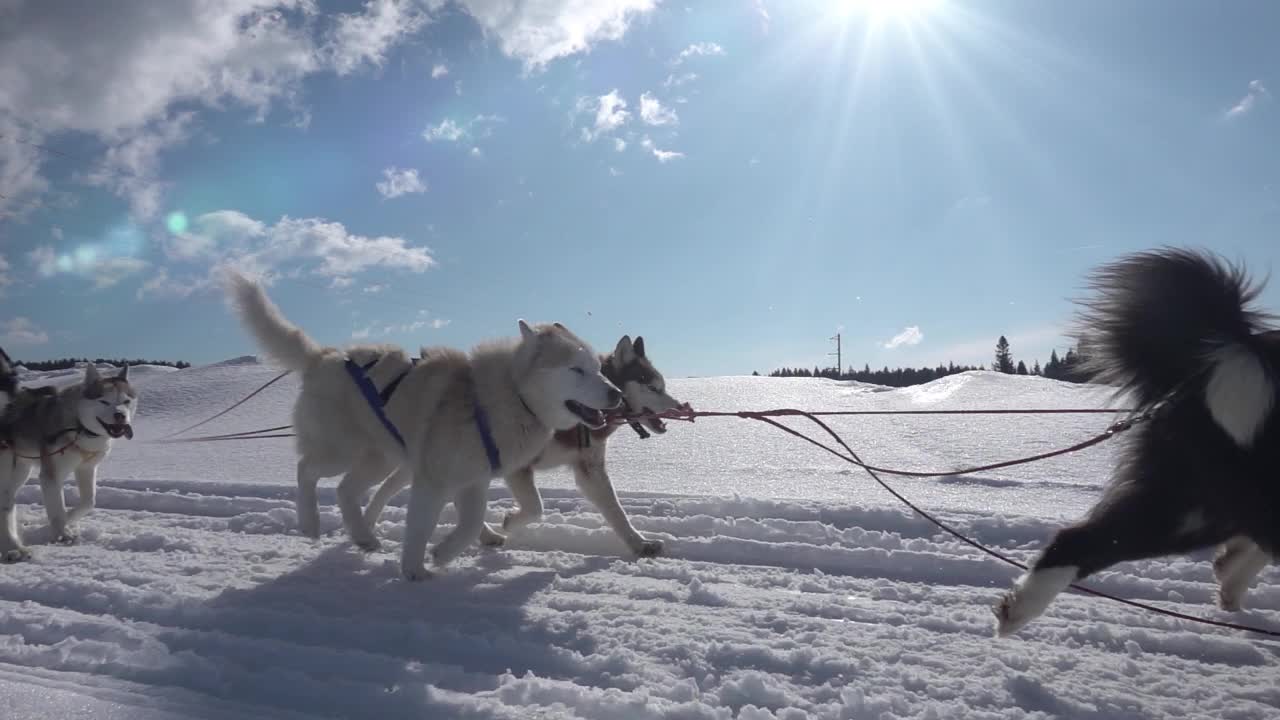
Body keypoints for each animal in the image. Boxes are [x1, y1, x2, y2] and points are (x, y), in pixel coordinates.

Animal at [0, 358, 138, 561]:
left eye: (126, 401)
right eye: (104, 401)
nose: (120, 415)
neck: (79, 426)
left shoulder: (86, 468)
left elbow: (88, 502)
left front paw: (58, 522)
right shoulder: (51, 475)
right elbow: (57, 510)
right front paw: (62, 534)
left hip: (20, 470)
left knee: (7, 500)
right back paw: (13, 547)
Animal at [225, 269, 624, 576]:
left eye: (598, 369)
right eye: (576, 370)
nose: (617, 394)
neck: (509, 395)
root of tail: (324, 356)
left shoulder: (473, 481)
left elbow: (470, 525)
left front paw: (444, 553)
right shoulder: (434, 480)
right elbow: (419, 528)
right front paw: (415, 570)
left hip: (379, 459)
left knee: (345, 491)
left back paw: (364, 536)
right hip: (342, 451)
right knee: (306, 470)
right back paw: (310, 522)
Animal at [363, 333, 691, 558]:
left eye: (663, 386)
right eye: (652, 387)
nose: (679, 407)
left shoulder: (590, 470)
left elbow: (617, 512)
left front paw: (639, 543)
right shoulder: (518, 468)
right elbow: (535, 507)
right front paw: (510, 521)